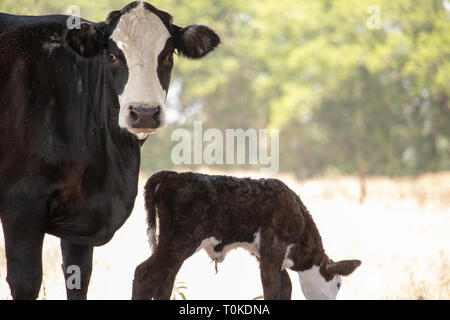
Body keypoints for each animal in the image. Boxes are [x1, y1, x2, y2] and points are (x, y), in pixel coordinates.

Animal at [0, 1, 220, 298]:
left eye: (167, 55)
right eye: (114, 55)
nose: (144, 112)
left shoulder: (82, 220)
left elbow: (79, 277)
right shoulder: (21, 204)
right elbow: (26, 280)